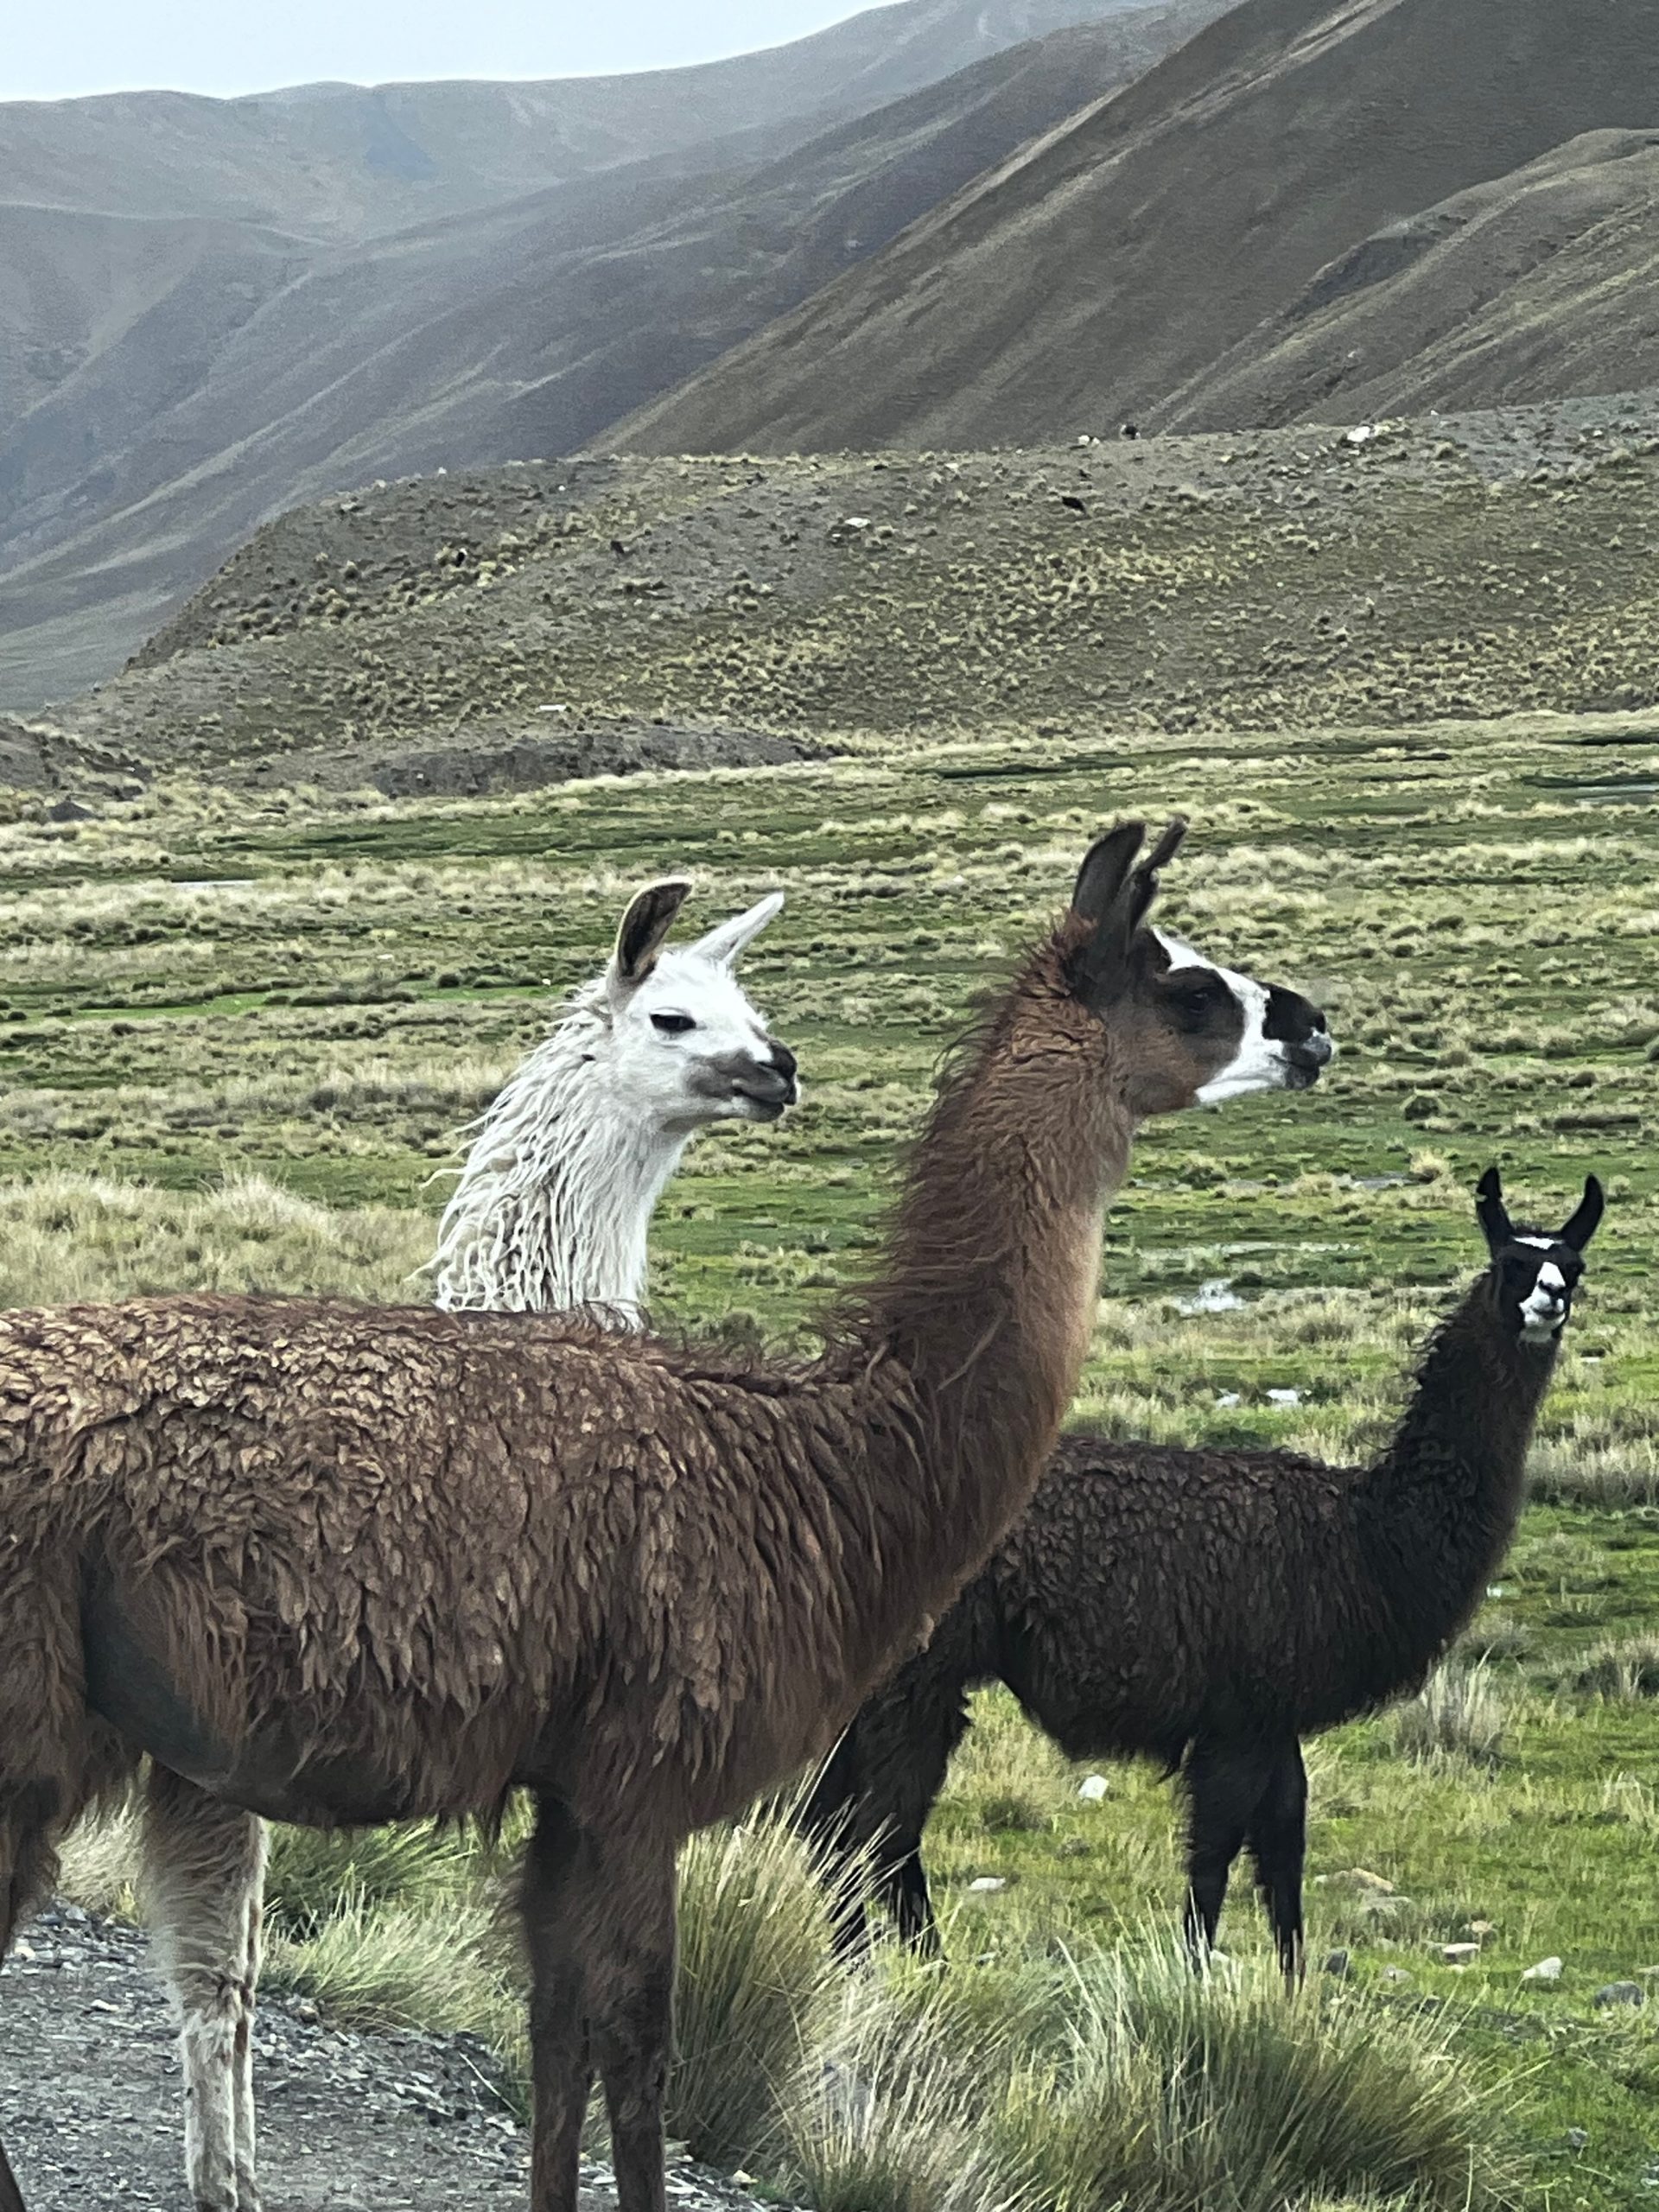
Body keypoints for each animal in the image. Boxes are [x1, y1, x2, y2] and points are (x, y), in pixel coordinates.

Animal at [0, 818, 1332, 2212]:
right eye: (1192, 987)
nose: (1312, 1026)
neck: (824, 1454)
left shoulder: (571, 1788)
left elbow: (555, 2044)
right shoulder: (645, 1774)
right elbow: (637, 2053)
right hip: (34, 1719)